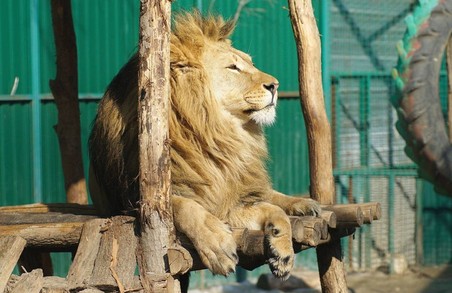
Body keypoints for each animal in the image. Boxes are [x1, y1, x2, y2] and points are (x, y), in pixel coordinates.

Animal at [88, 11, 320, 280]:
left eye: (250, 63)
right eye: (233, 67)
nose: (275, 85)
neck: (212, 134)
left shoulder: (229, 198)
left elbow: (276, 211)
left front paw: (282, 253)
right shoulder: (135, 201)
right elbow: (185, 207)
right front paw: (218, 244)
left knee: (271, 194)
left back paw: (304, 204)